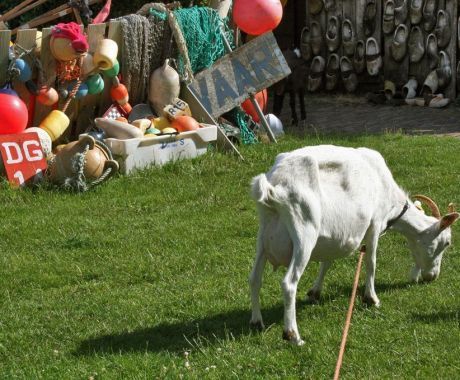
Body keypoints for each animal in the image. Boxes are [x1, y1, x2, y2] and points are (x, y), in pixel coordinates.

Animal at [250, 145, 458, 344]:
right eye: (446, 243)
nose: (432, 276)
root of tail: (273, 187)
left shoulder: (335, 235)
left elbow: (327, 262)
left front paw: (315, 292)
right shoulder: (375, 223)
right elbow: (371, 262)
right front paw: (371, 298)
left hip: (263, 236)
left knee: (255, 278)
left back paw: (257, 322)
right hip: (304, 232)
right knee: (289, 283)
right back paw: (293, 335)